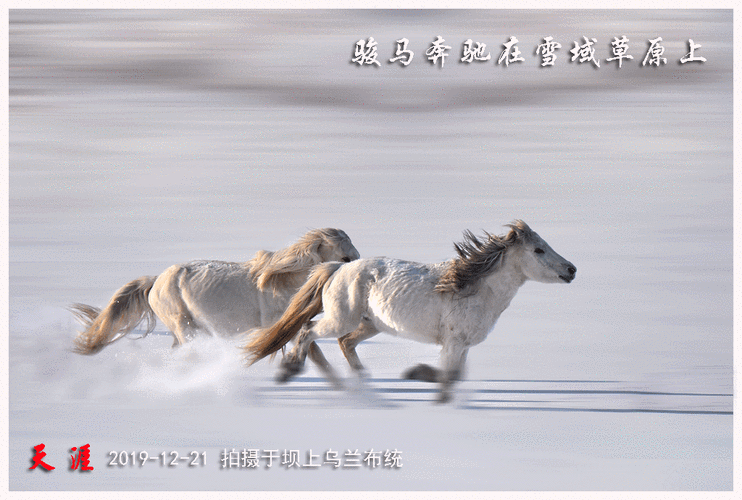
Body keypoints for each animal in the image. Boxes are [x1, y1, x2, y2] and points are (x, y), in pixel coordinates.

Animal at [70, 229, 360, 379]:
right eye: (345, 257)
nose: (357, 280)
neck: (287, 281)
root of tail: (154, 282)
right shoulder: (282, 325)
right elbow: (313, 352)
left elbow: (315, 352)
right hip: (183, 324)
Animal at [244, 220, 576, 403]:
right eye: (538, 250)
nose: (571, 270)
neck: (475, 289)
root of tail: (338, 266)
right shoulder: (453, 343)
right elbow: (449, 377)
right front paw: (417, 377)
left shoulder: (463, 345)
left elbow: (455, 377)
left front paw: (420, 378)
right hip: (341, 319)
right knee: (308, 331)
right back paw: (289, 371)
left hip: (371, 325)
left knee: (345, 343)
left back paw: (363, 381)